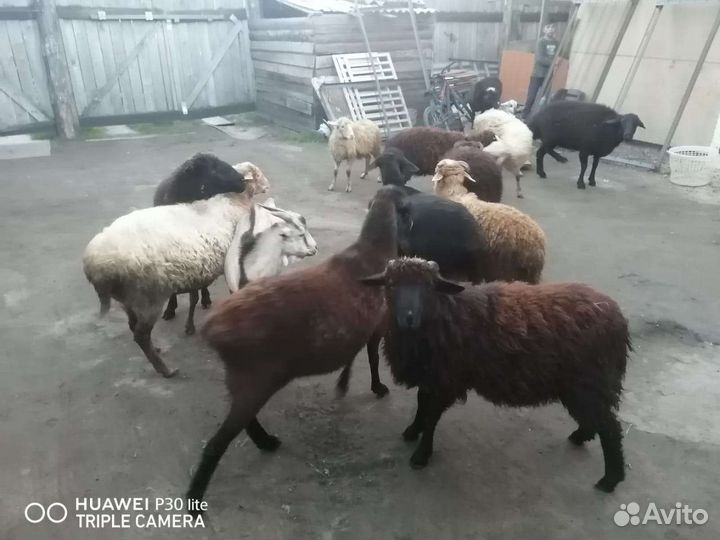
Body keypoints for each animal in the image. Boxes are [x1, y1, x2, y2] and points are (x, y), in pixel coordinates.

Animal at [83, 194, 316, 378]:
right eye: (300, 234)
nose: (314, 249)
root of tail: (95, 265)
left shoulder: (197, 269)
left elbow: (195, 296)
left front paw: (192, 323)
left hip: (130, 299)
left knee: (134, 326)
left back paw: (157, 350)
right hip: (148, 297)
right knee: (140, 334)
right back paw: (166, 370)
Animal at [185, 186, 407, 507]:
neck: (373, 249)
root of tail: (212, 328)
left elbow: (353, 354)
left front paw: (343, 383)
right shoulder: (377, 324)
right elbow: (371, 357)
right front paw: (377, 388)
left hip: (242, 378)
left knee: (244, 422)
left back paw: (266, 442)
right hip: (257, 378)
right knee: (218, 442)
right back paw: (195, 499)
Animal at [360, 257, 631, 493]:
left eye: (428, 286)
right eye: (391, 284)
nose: (408, 318)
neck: (445, 313)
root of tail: (617, 316)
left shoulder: (447, 378)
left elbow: (431, 416)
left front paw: (421, 454)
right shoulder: (432, 375)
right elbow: (421, 404)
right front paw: (412, 430)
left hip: (591, 380)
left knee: (610, 427)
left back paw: (610, 479)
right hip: (583, 385)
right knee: (596, 419)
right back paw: (581, 437)